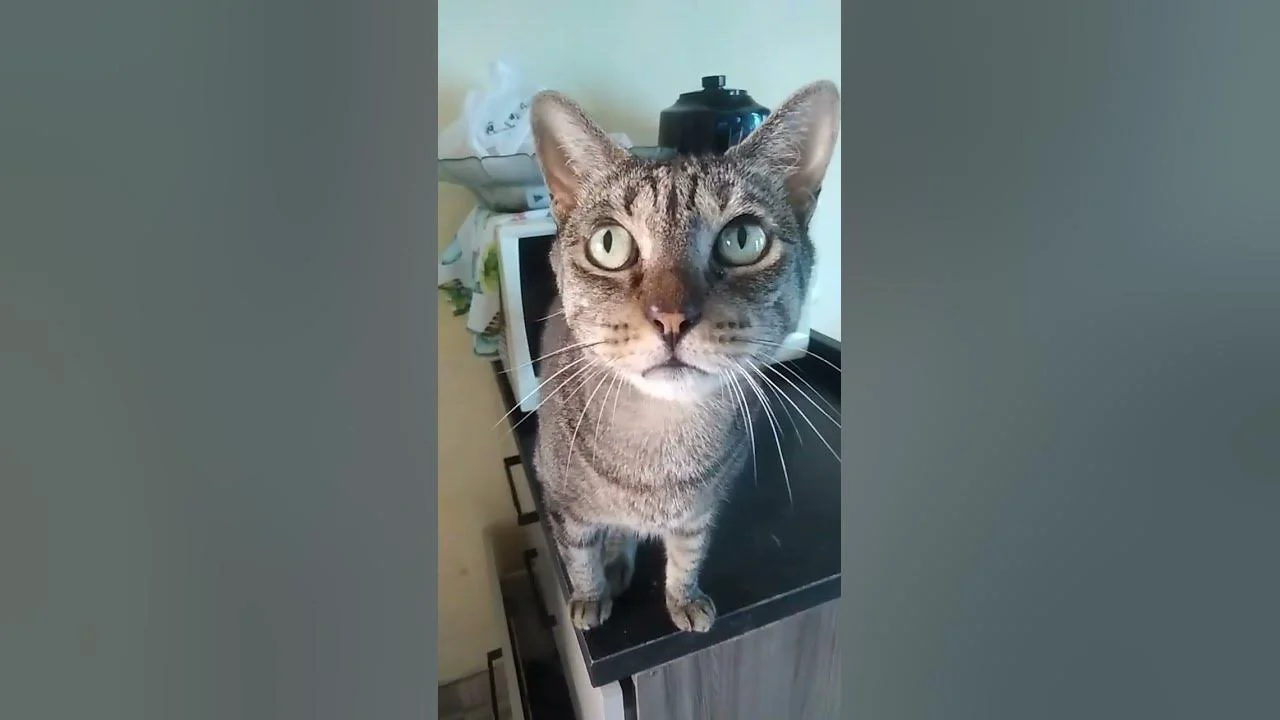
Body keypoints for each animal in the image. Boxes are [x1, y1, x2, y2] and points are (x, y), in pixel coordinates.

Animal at [527, 80, 840, 633]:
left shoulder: (700, 511)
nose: (671, 317)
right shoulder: (563, 503)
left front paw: (684, 597)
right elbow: (579, 553)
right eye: (609, 243)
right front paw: (589, 595)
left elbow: (688, 554)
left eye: (743, 239)